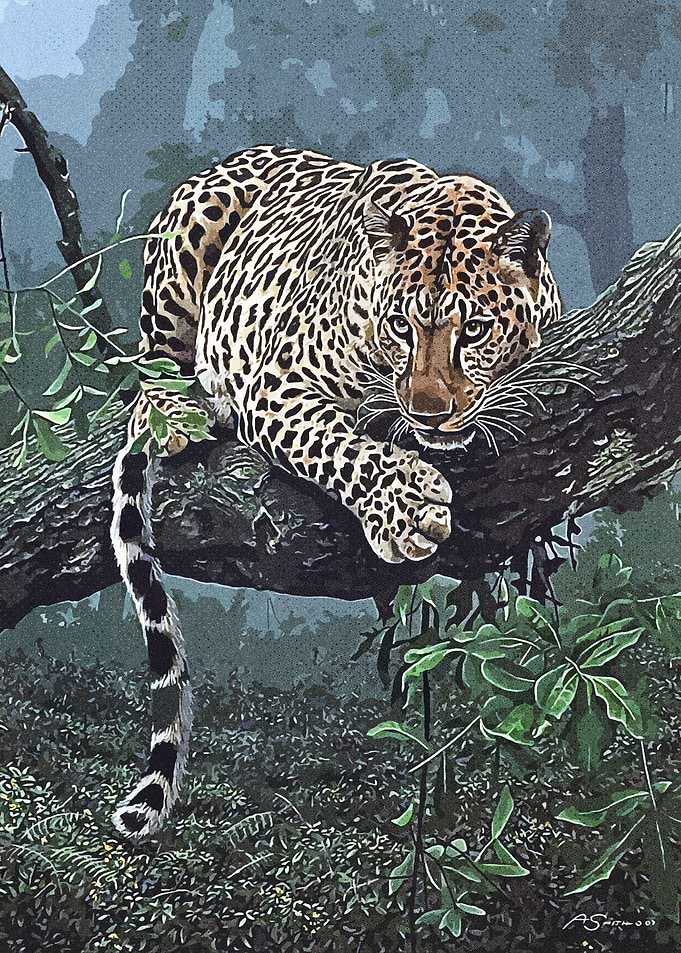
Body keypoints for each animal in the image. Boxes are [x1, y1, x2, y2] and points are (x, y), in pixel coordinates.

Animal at [110, 144, 561, 837]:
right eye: (401, 326)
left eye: (475, 331)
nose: (427, 413)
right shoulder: (275, 384)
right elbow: (334, 444)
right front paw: (406, 509)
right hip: (183, 256)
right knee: (149, 365)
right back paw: (182, 406)